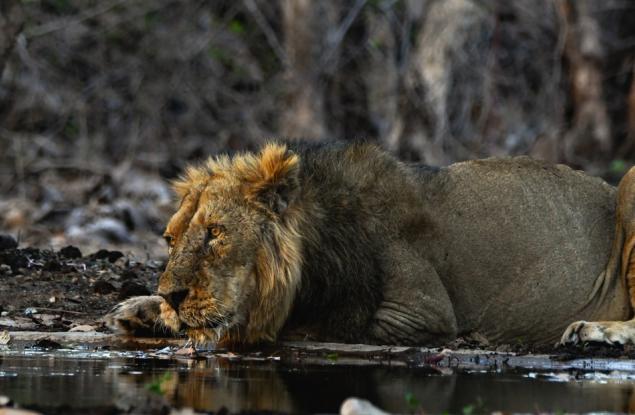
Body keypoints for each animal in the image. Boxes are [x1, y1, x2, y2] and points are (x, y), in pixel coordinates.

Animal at [104, 141, 635, 350]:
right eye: (170, 239)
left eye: (215, 233)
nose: (172, 296)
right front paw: (140, 307)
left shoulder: (422, 312)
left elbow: (313, 322)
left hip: (629, 182)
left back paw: (594, 330)